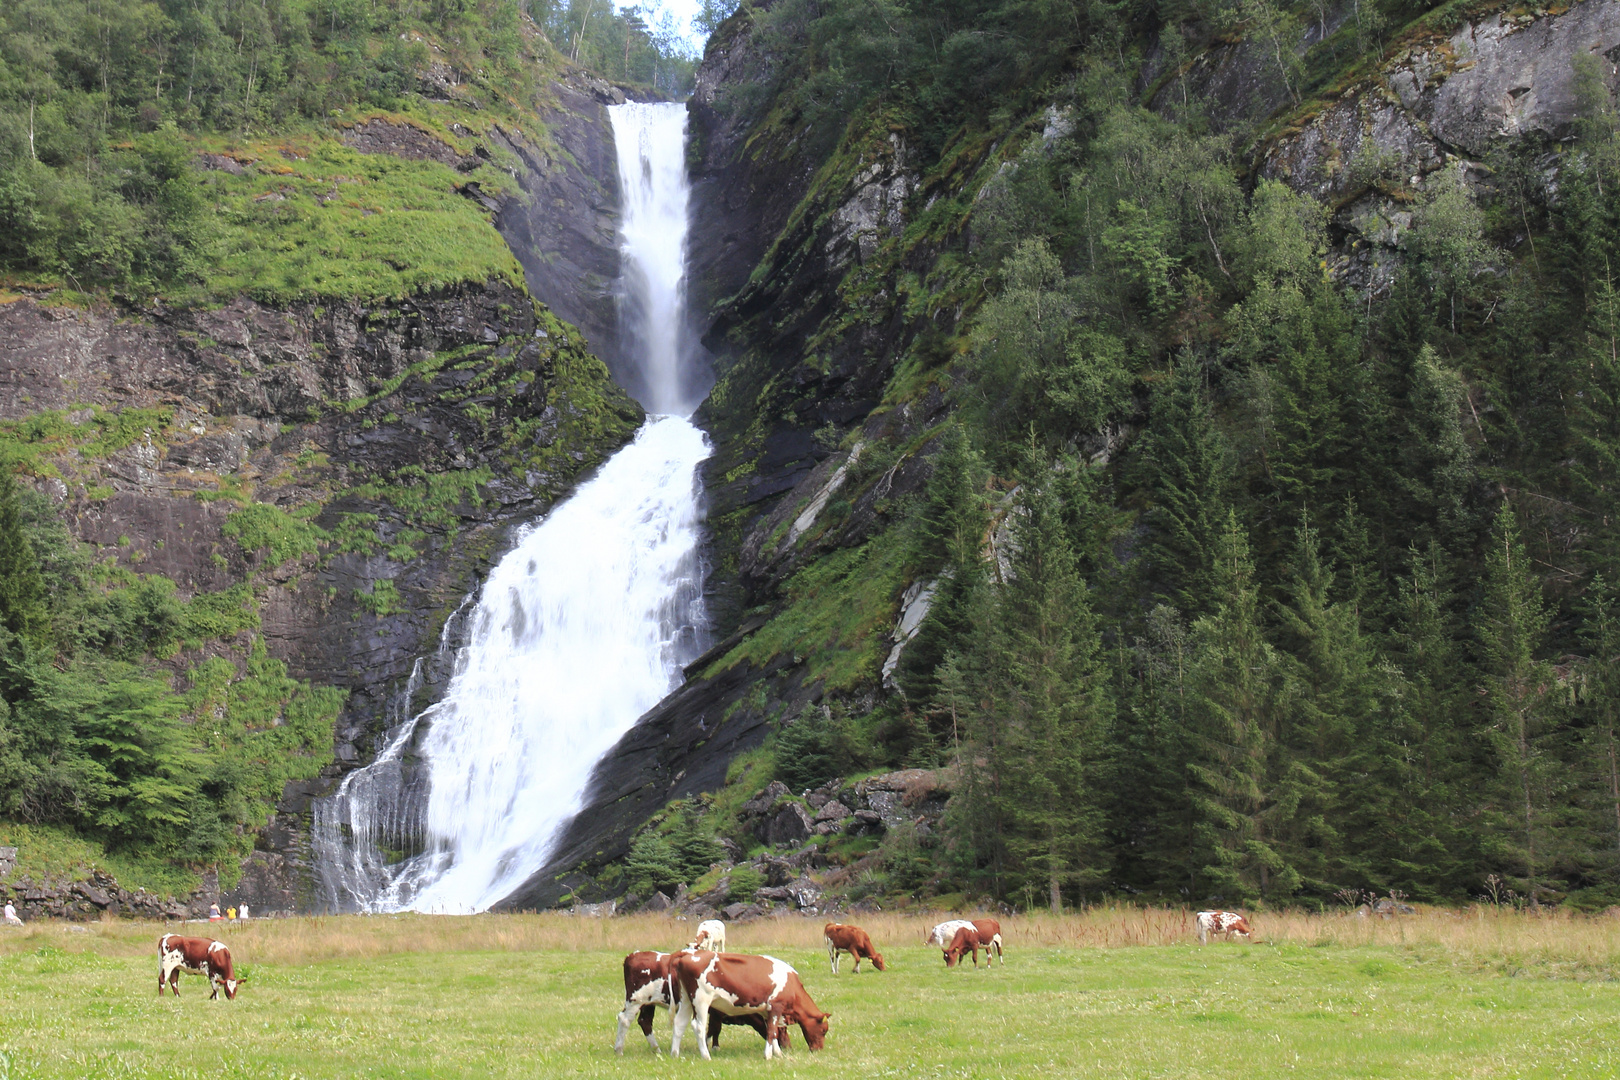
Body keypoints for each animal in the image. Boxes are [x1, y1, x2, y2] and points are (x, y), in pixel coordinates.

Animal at [612, 952, 777, 1055]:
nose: (783, 1045)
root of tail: (633, 955)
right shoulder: (715, 1012)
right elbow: (714, 1029)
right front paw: (712, 1047)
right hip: (636, 1000)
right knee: (625, 1019)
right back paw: (619, 1049)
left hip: (648, 1003)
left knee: (644, 1022)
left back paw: (656, 1049)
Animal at [667, 952, 829, 1062]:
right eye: (824, 1030)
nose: (818, 1049)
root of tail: (689, 954)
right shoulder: (776, 1006)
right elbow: (772, 1032)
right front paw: (768, 1055)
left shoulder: (766, 1011)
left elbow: (773, 1032)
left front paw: (778, 1053)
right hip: (701, 999)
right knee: (698, 1026)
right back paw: (706, 1056)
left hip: (686, 999)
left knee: (679, 1023)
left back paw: (675, 1054)